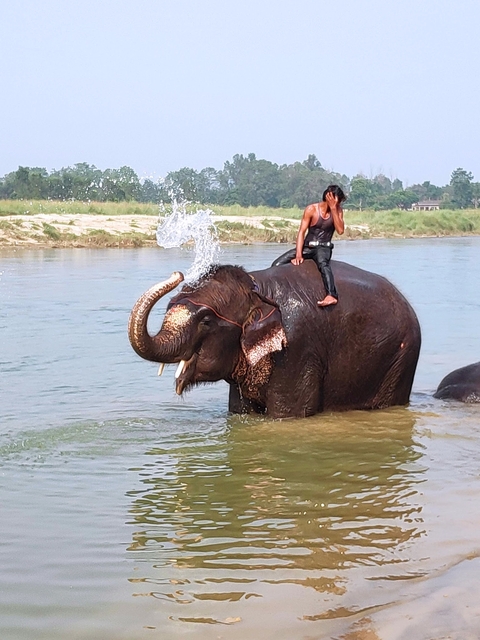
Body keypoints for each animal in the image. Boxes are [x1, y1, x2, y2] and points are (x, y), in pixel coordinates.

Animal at [128, 260, 421, 419]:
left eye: (206, 321)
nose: (177, 274)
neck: (256, 289)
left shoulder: (297, 349)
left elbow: (287, 414)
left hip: (401, 360)